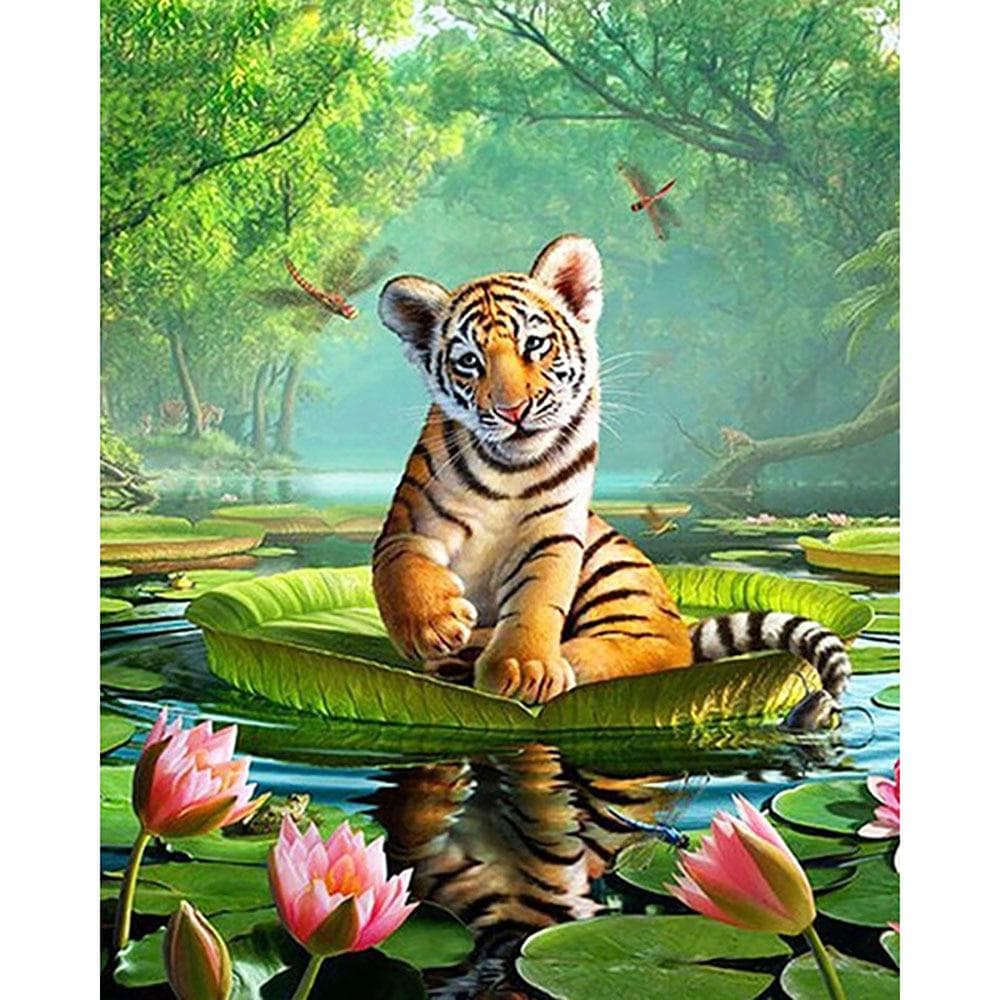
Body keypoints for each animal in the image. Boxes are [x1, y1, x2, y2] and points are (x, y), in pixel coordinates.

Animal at [373, 234, 851, 722]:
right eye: (469, 361)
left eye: (535, 344)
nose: (513, 411)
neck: (509, 470)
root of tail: (682, 623)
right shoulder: (408, 526)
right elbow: (399, 568)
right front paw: (433, 626)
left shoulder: (553, 536)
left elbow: (537, 600)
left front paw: (524, 669)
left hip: (615, 571)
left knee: (657, 651)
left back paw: (557, 658)